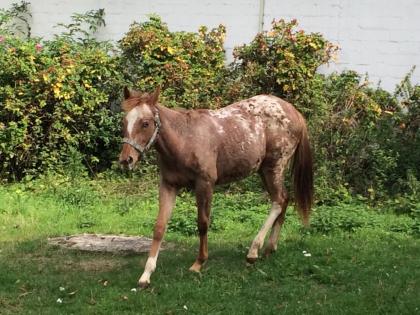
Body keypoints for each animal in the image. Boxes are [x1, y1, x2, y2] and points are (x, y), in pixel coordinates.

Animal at [118, 86, 312, 288]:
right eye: (124, 121)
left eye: (145, 123)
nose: (126, 160)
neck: (184, 138)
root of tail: (295, 112)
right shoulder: (169, 185)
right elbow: (159, 227)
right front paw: (146, 275)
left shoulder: (205, 184)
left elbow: (203, 223)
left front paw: (199, 263)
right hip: (264, 171)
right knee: (284, 199)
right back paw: (269, 248)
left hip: (273, 167)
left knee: (278, 201)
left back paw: (253, 251)